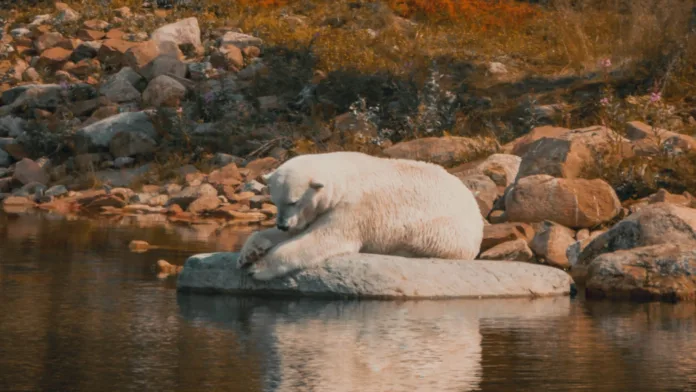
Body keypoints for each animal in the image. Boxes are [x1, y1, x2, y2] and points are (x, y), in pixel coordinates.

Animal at [238, 151, 484, 282]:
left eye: (294, 201)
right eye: (276, 202)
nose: (283, 225)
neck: (343, 177)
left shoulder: (354, 207)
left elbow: (322, 239)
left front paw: (258, 268)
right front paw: (249, 254)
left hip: (441, 228)